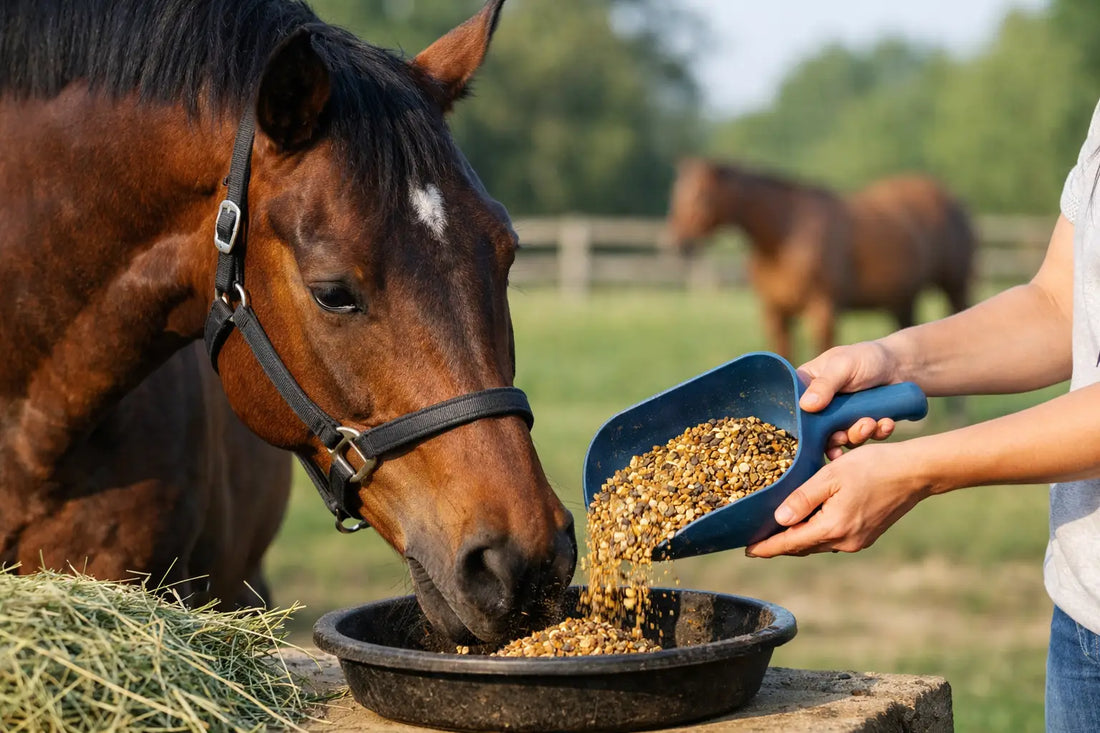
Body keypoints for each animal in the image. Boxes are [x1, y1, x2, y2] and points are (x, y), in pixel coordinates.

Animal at [666, 158, 976, 361]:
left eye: (701, 196)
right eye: (676, 194)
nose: (677, 243)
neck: (786, 234)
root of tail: (949, 198)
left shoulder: (822, 309)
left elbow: (821, 351)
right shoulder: (775, 313)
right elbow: (784, 355)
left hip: (955, 286)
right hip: (902, 299)